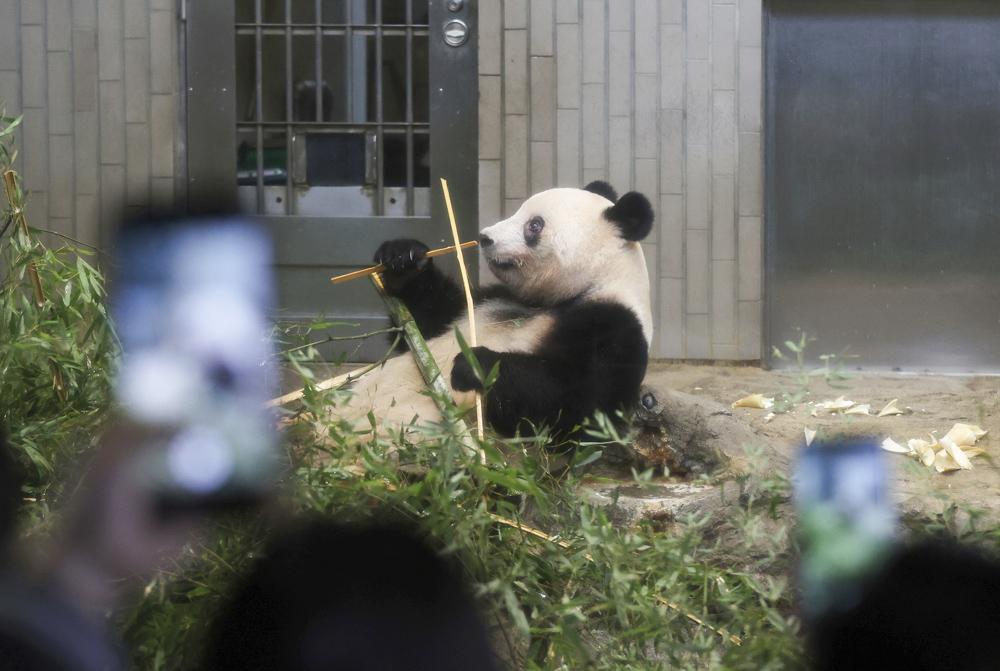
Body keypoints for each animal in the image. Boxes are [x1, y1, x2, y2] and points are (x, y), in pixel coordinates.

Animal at [340, 181, 656, 438]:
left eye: (535, 225)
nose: (485, 237)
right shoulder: (492, 299)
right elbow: (429, 323)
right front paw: (403, 258)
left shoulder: (616, 326)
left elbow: (579, 405)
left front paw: (474, 363)